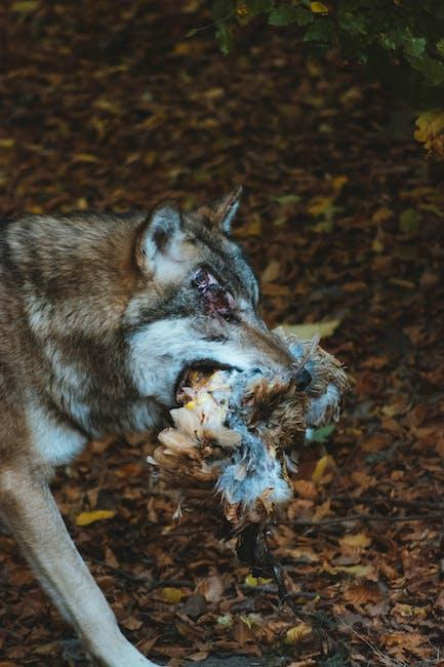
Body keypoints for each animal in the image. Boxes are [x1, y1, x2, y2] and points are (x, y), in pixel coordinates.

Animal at [0, 189, 297, 666]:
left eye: (253, 305)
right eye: (221, 311)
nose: (303, 376)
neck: (36, 326)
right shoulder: (18, 481)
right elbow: (88, 597)